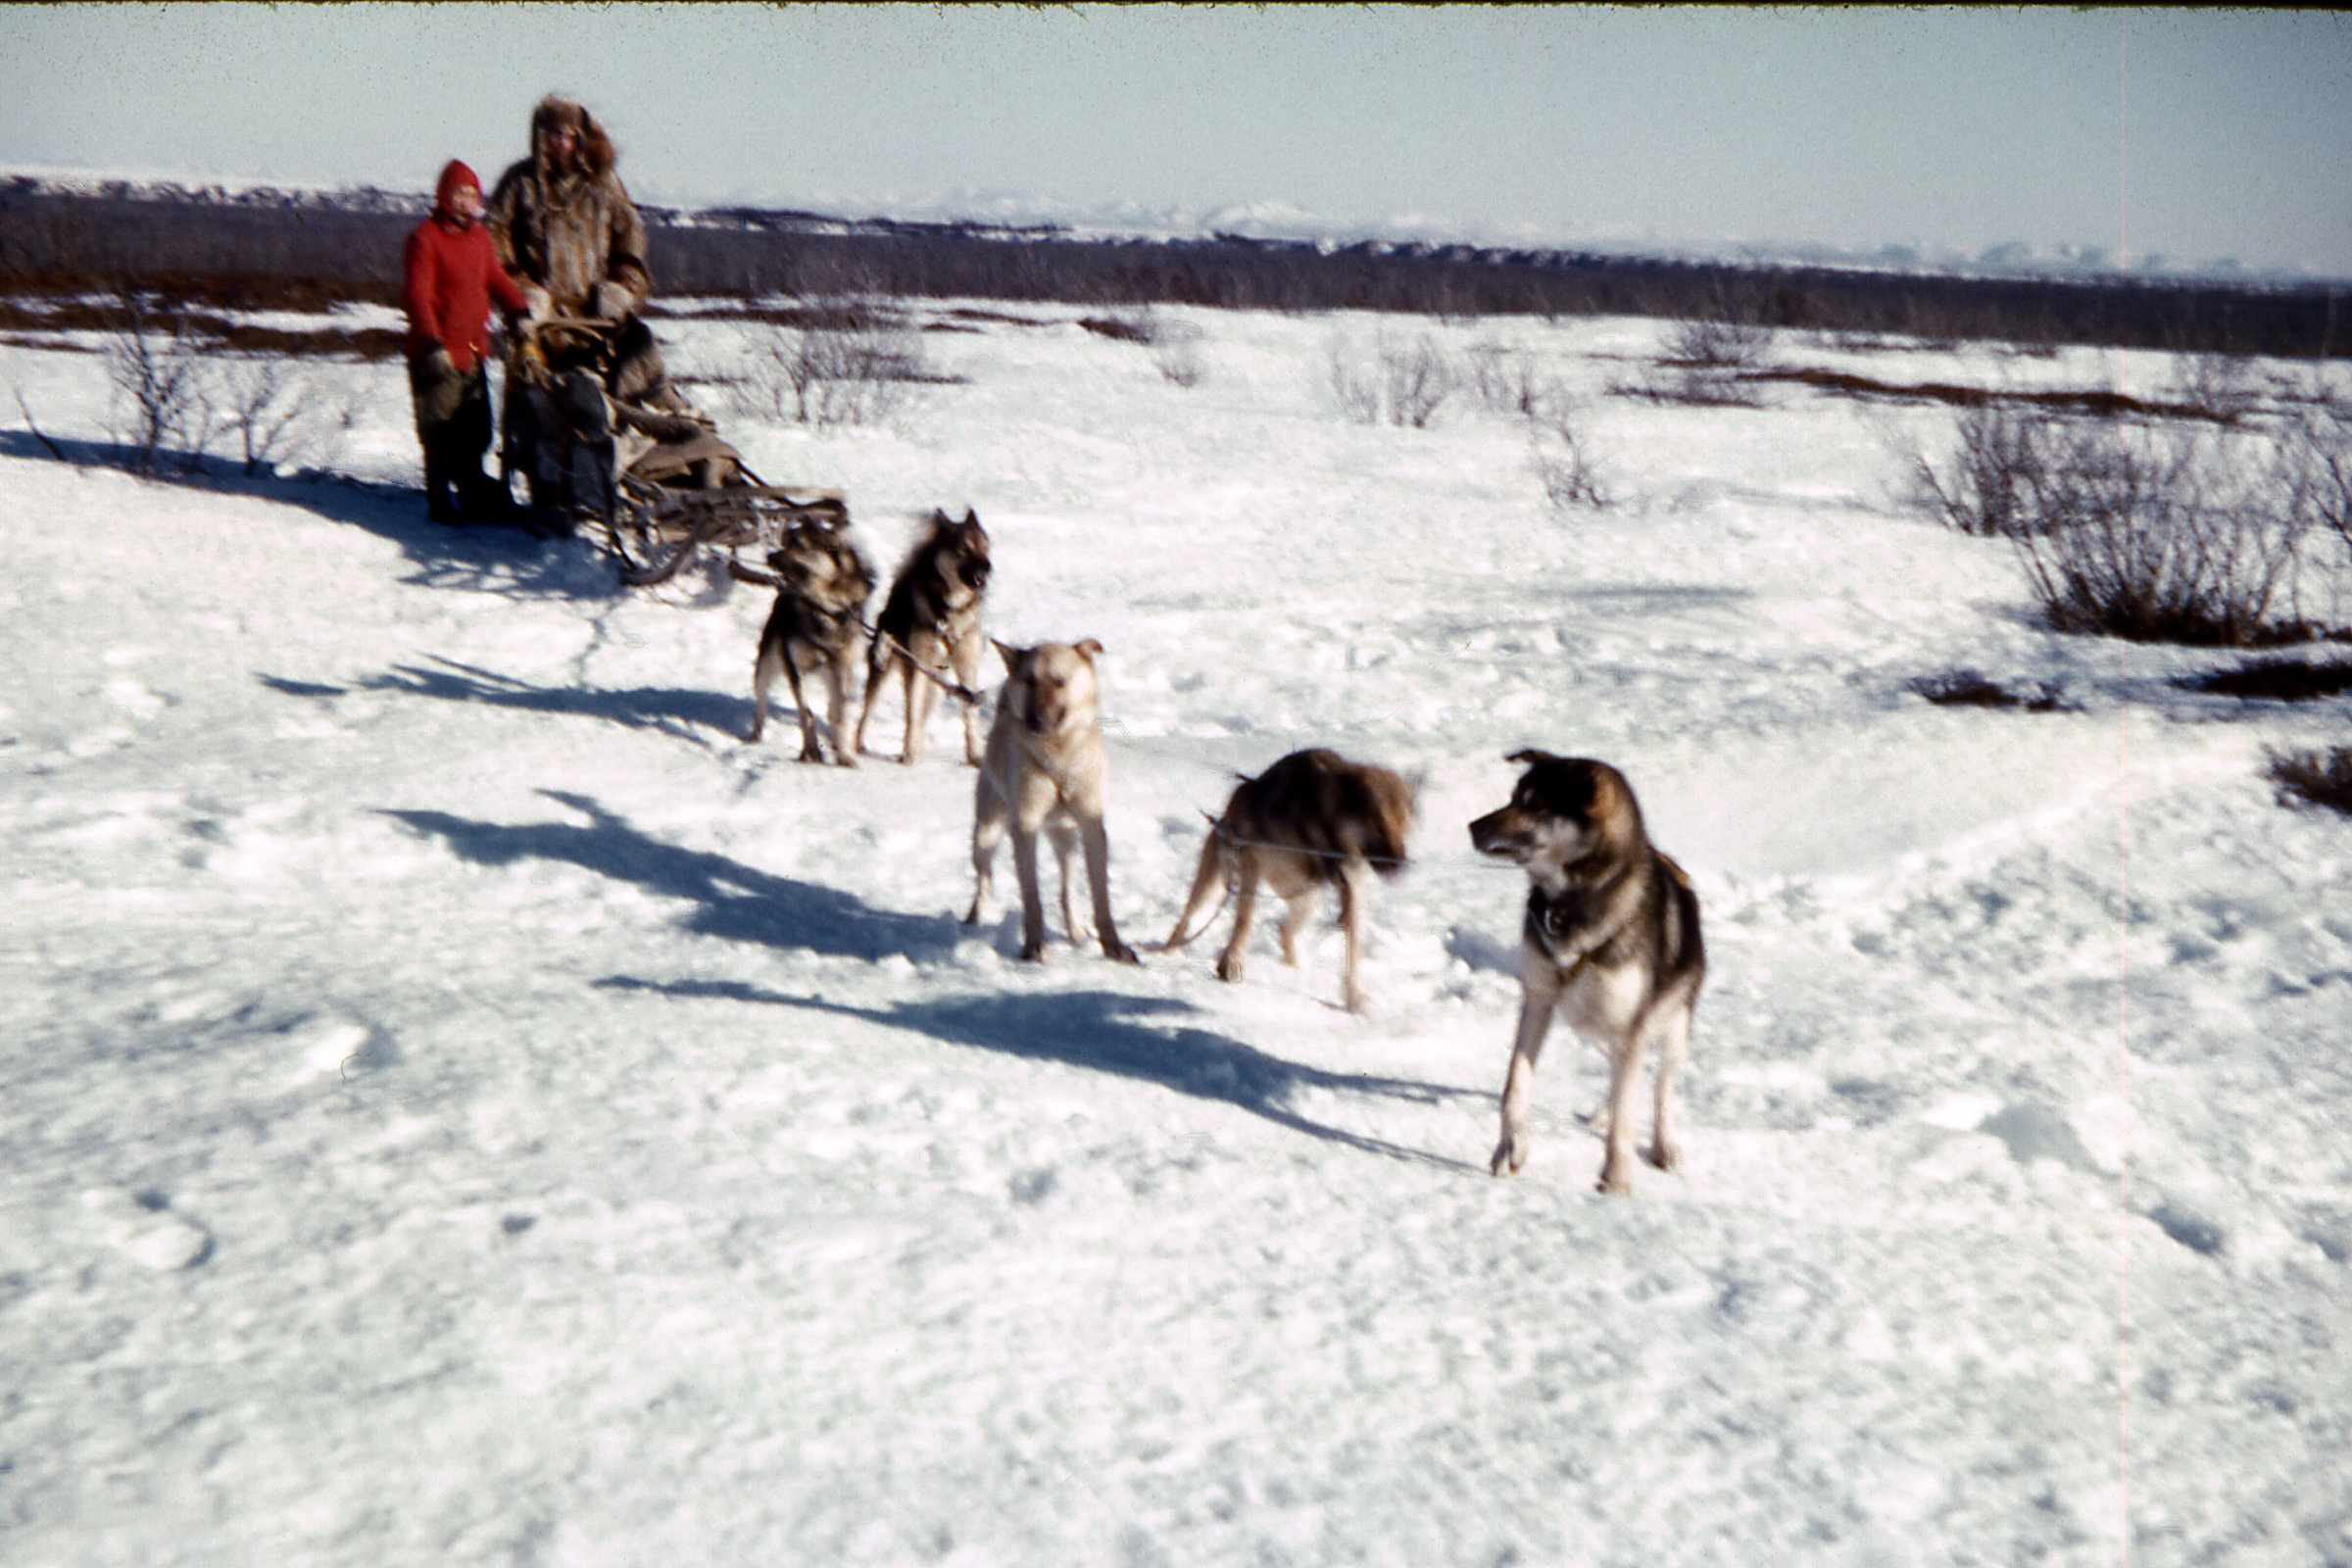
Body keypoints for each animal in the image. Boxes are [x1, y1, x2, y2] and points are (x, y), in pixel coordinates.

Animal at [955, 639, 1138, 963]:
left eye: (1060, 681)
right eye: (1029, 681)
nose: (1035, 720)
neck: (1059, 757)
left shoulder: (1092, 827)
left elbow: (1100, 896)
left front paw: (1113, 945)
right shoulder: (1024, 827)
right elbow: (1032, 897)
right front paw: (1034, 945)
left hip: (1066, 839)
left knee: (1068, 889)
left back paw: (1075, 931)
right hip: (986, 833)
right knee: (984, 880)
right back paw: (972, 921)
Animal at [1161, 752, 1411, 1020]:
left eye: (1405, 825)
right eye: (1378, 823)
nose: (1401, 863)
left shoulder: (1351, 885)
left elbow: (1353, 943)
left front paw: (1354, 996)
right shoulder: (1252, 860)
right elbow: (1244, 920)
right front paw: (1231, 962)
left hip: (1306, 898)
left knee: (1284, 929)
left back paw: (1294, 967)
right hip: (1214, 884)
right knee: (1187, 917)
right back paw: (1169, 950)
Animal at [1467, 752, 1712, 1194]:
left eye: (1535, 805)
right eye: (1513, 796)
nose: (1473, 826)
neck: (1571, 903)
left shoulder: (1631, 1026)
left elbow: (1629, 1113)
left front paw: (1616, 1178)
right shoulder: (1540, 1000)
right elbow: (1515, 1085)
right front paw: (1510, 1148)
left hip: (1671, 1025)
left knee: (1661, 1085)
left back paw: (1663, 1145)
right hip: (1589, 1022)